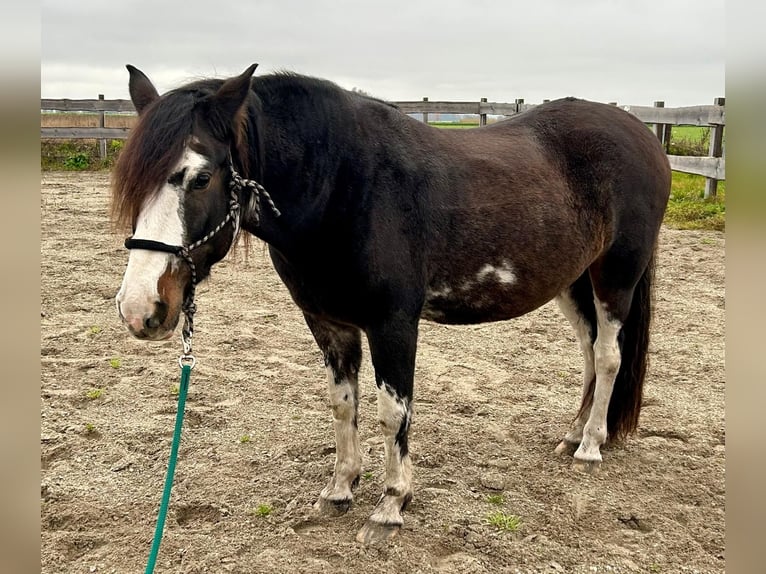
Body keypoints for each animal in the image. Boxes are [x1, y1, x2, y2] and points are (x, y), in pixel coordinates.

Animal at [112, 65, 672, 548]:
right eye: (132, 181)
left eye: (201, 177)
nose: (140, 308)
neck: (341, 184)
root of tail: (643, 134)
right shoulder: (329, 323)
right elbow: (344, 404)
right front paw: (339, 490)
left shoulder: (393, 325)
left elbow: (392, 413)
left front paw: (390, 506)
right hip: (573, 282)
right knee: (589, 351)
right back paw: (572, 434)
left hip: (615, 277)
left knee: (609, 356)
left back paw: (591, 445)